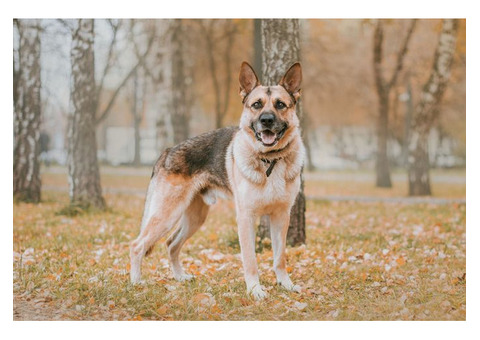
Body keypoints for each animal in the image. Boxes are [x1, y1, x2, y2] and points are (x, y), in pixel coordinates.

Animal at [130, 61, 304, 300]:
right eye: (256, 105)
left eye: (280, 105)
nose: (266, 120)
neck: (270, 160)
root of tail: (167, 150)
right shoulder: (246, 218)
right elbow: (250, 260)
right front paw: (255, 290)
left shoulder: (281, 217)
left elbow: (280, 258)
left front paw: (285, 284)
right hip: (167, 214)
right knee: (137, 245)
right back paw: (136, 283)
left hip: (195, 218)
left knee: (171, 244)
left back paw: (179, 277)